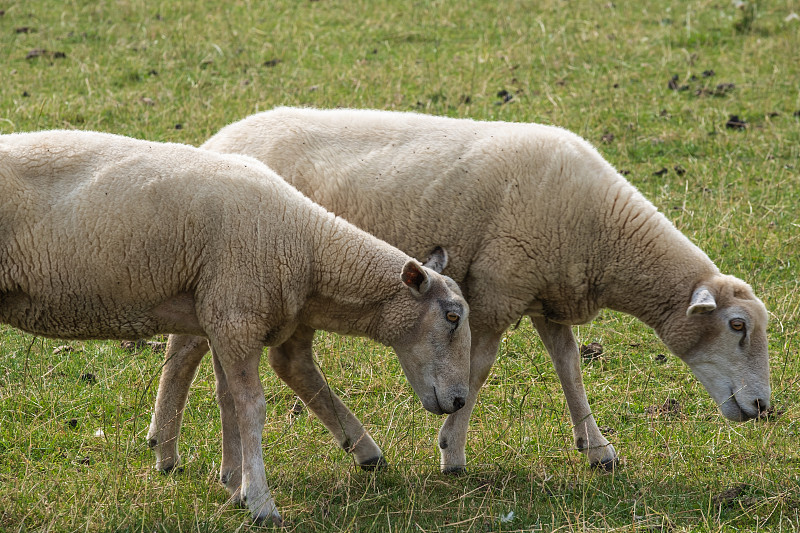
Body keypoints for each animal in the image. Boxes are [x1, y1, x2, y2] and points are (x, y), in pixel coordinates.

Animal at [0, 130, 472, 524]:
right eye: (452, 317)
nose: (459, 400)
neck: (308, 246)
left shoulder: (223, 319)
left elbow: (227, 400)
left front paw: (233, 485)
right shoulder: (236, 317)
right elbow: (252, 407)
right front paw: (261, 502)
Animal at [148, 107, 768, 474]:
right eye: (736, 326)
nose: (765, 408)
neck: (606, 232)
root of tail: (220, 137)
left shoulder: (546, 295)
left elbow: (570, 369)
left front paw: (597, 448)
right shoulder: (497, 291)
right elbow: (479, 369)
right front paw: (452, 450)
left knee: (267, 358)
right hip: (254, 272)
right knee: (199, 351)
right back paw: (167, 446)